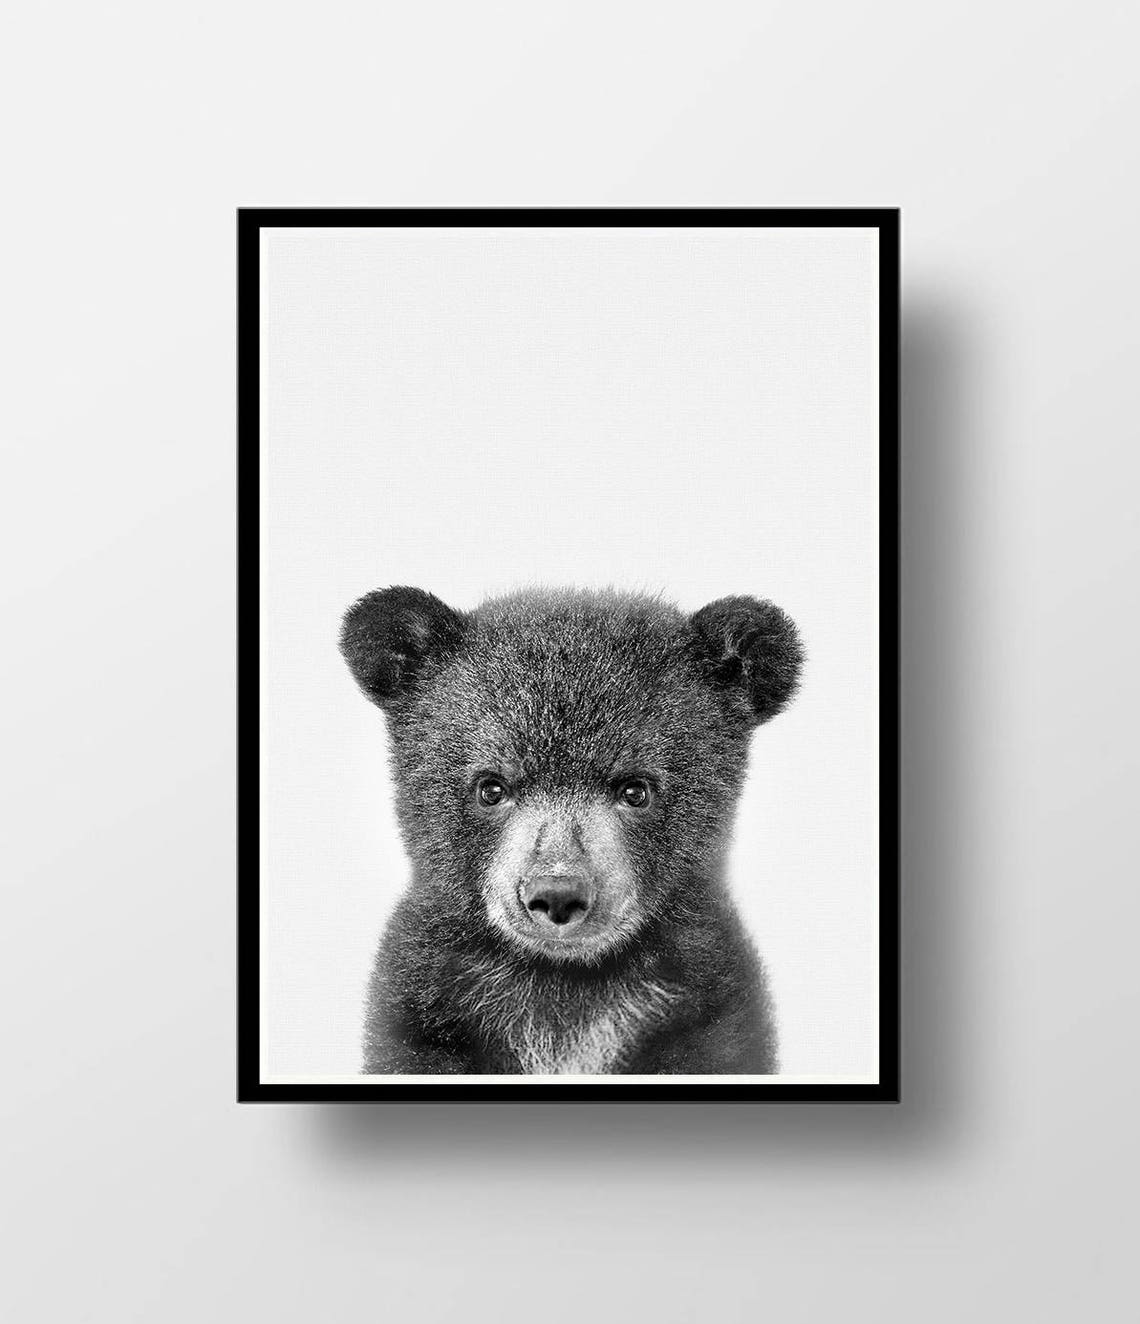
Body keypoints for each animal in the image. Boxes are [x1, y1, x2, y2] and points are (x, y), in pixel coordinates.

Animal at [339, 585, 803, 1075]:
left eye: (635, 790)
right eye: (491, 787)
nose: (557, 894)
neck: (565, 981)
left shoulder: (709, 1013)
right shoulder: (423, 1014)